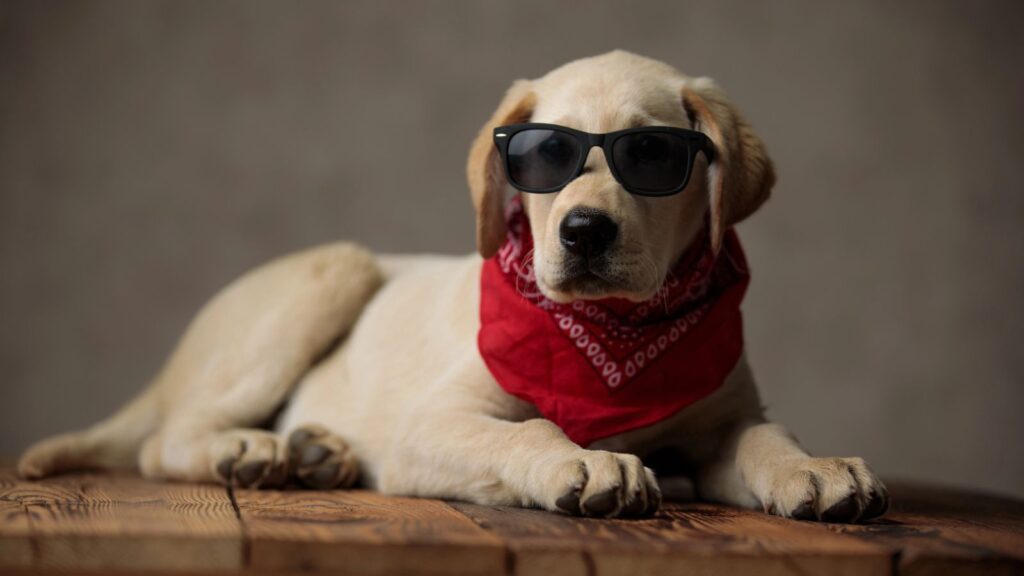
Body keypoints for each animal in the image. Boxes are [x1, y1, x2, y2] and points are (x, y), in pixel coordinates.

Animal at [19, 51, 892, 520]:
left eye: (651, 156)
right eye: (545, 156)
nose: (583, 232)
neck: (614, 339)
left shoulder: (724, 422)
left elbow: (764, 439)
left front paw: (816, 469)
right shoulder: (428, 426)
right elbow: (527, 430)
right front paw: (586, 462)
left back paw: (317, 452)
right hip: (339, 266)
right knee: (164, 441)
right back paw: (249, 449)